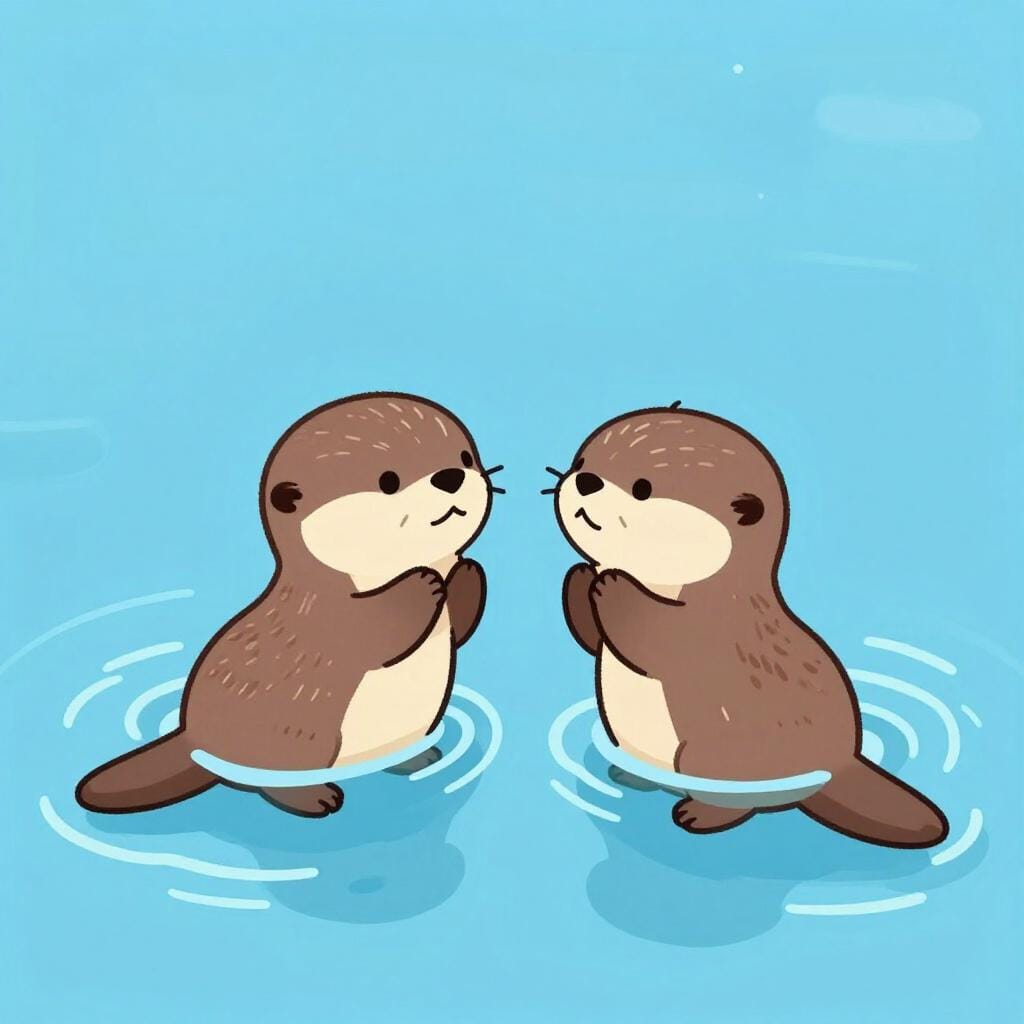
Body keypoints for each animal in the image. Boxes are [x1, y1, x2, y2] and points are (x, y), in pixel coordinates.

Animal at [77, 393, 500, 817]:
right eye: (388, 481)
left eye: (465, 456)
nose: (450, 476)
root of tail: (195, 743)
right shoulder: (325, 613)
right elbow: (371, 635)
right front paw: (422, 581)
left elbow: (459, 625)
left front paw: (466, 570)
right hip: (301, 739)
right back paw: (316, 797)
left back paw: (417, 758)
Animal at [552, 404, 948, 848]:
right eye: (582, 461)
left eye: (642, 487)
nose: (585, 479)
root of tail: (839, 766)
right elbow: (594, 637)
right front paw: (581, 574)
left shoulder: (709, 624)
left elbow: (656, 642)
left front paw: (612, 582)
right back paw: (629, 774)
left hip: (712, 752)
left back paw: (697, 814)